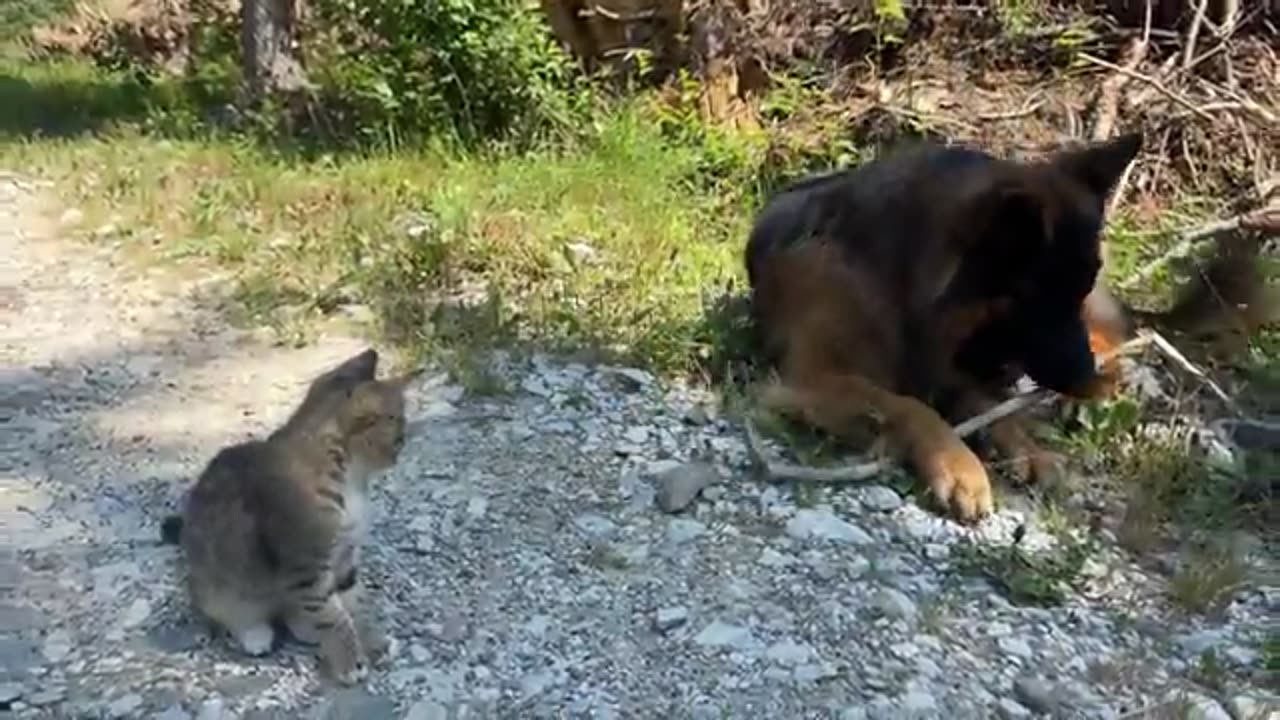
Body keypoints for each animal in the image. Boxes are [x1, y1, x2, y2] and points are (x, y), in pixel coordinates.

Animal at [159, 348, 419, 681]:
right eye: (400, 437)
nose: (399, 454)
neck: (350, 479)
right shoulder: (307, 568)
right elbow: (334, 619)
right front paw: (350, 662)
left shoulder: (344, 559)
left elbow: (357, 606)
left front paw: (375, 643)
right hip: (220, 588)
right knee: (226, 613)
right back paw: (256, 635)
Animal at [747, 131, 1146, 517]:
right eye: (1037, 301)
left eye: (1078, 291)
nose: (1086, 377)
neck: (899, 281)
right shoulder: (813, 380)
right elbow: (909, 405)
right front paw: (959, 466)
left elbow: (986, 408)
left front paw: (1025, 447)